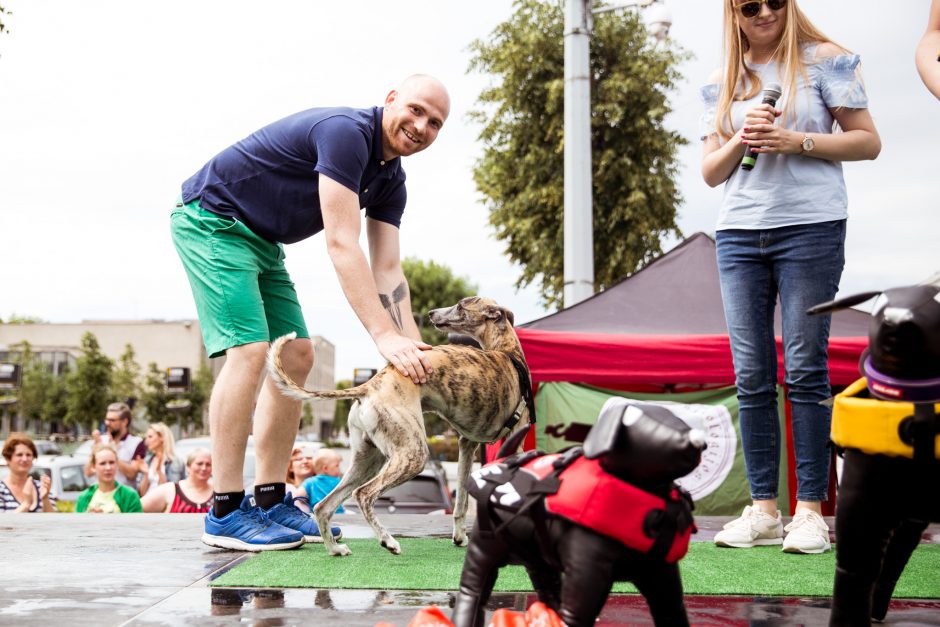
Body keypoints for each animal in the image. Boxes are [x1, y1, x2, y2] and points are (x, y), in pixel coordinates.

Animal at [266, 296, 528, 556]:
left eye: (462, 305)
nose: (432, 313)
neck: (506, 352)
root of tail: (370, 385)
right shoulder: (513, 441)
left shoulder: (466, 445)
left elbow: (461, 499)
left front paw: (460, 537)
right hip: (412, 454)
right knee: (364, 494)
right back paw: (387, 540)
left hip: (368, 459)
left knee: (323, 505)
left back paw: (335, 548)